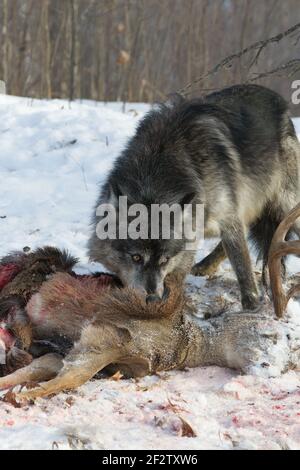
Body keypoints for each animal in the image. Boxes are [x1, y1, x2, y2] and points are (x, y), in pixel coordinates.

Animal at [88, 86, 300, 310]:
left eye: (164, 260)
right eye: (136, 257)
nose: (152, 299)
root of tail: (279, 102)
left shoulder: (228, 216)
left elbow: (241, 263)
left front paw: (251, 303)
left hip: (285, 207)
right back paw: (205, 266)